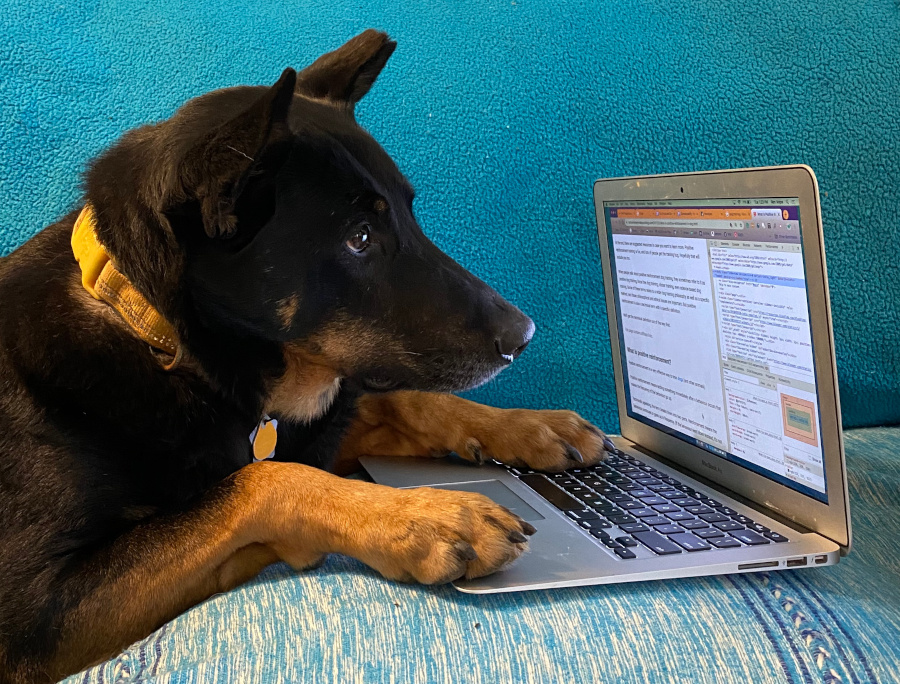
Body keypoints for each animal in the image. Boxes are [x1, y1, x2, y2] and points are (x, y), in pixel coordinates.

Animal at [0, 30, 612, 684]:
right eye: (359, 239)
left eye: (411, 213)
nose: (523, 336)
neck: (162, 339)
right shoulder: (34, 612)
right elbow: (262, 480)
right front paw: (424, 517)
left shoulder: (317, 421)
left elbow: (404, 402)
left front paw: (530, 427)